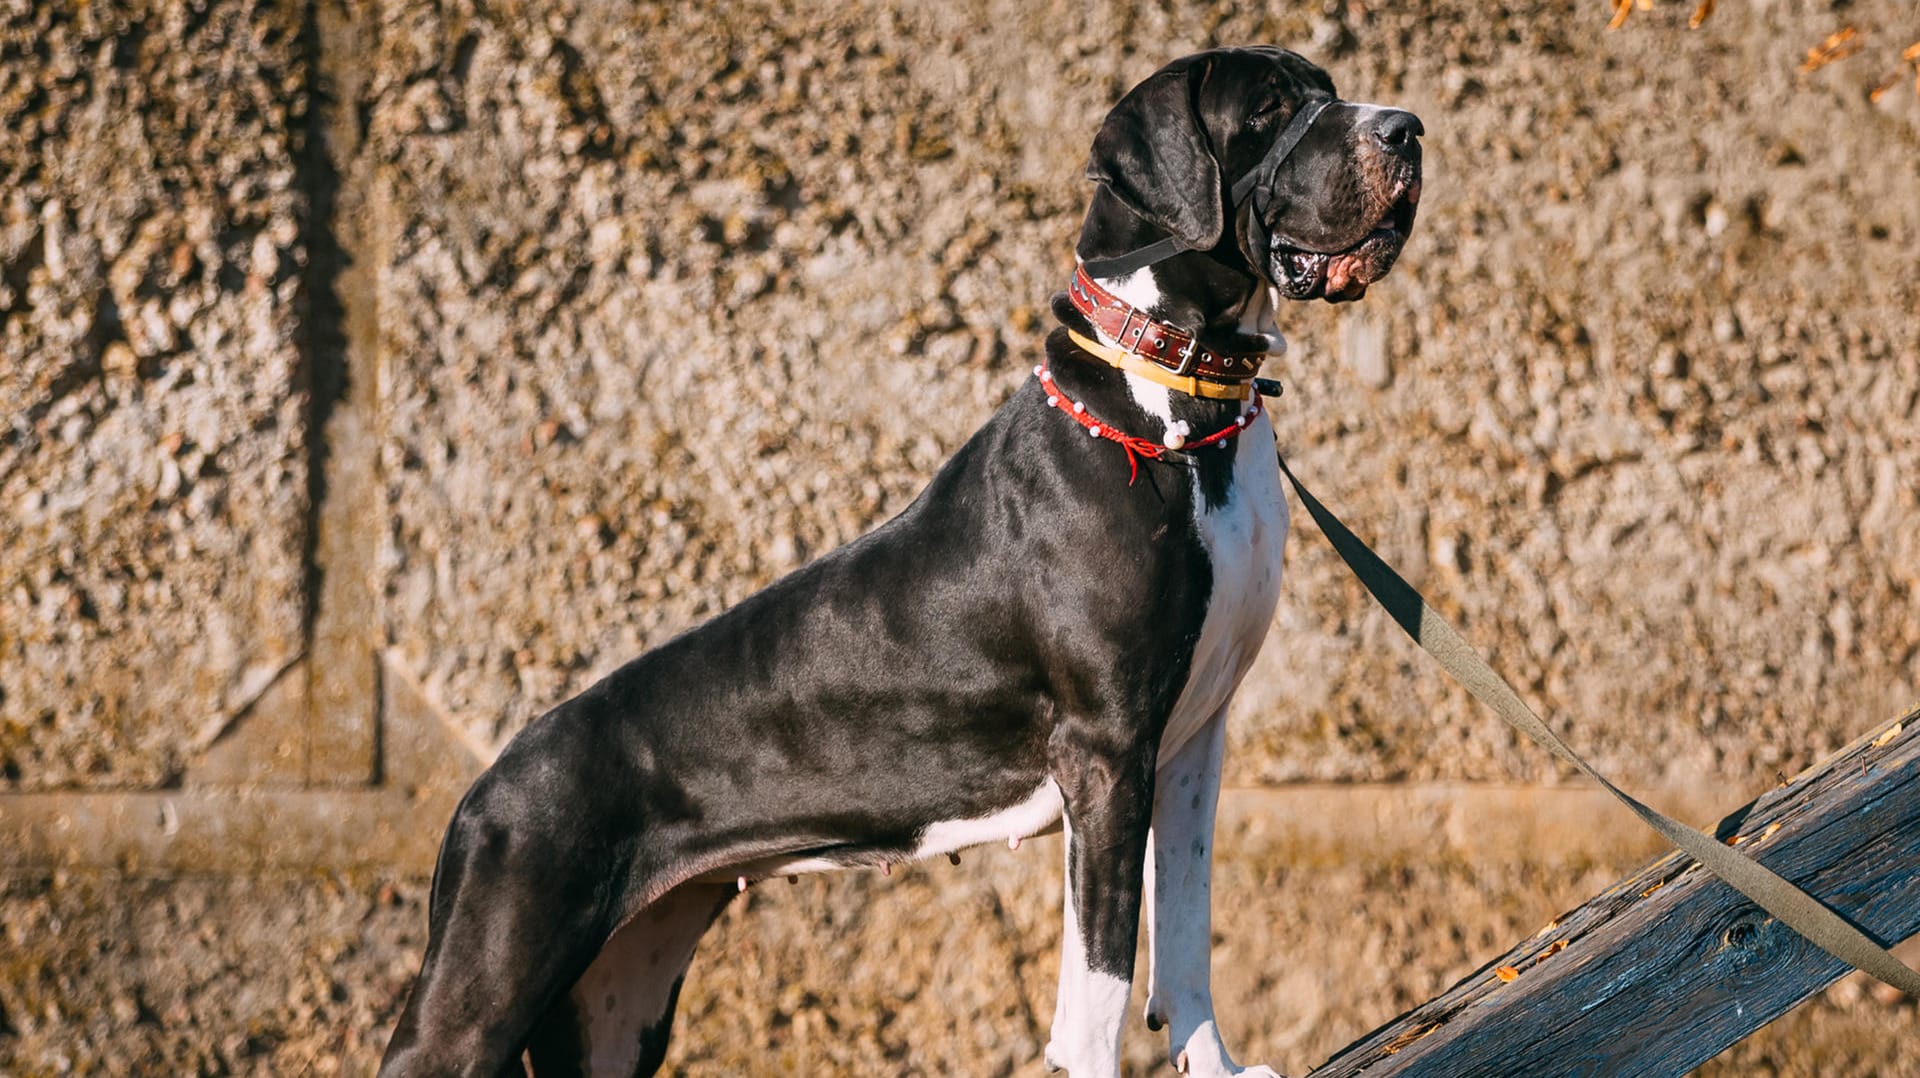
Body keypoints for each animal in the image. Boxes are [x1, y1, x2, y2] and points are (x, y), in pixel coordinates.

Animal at [382, 44, 1420, 1076]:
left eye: (1327, 90)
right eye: (1269, 107)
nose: (1405, 129)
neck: (1174, 396)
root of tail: (480, 790)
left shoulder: (1194, 740)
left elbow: (1188, 932)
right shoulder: (1107, 752)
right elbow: (1102, 984)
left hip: (618, 1001)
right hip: (481, 989)